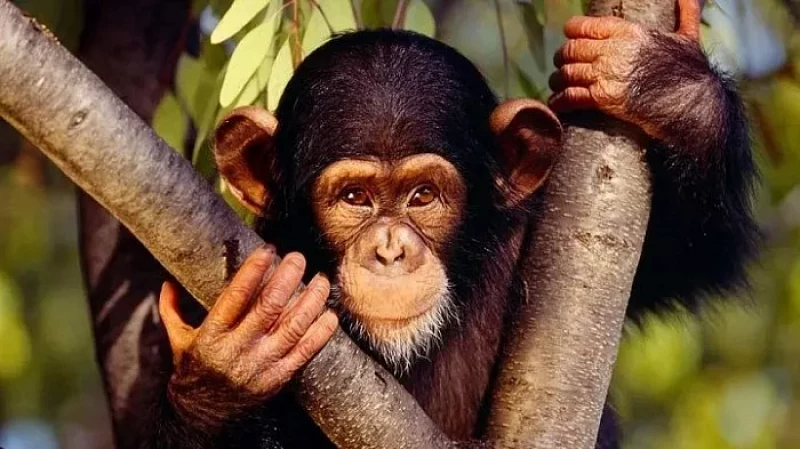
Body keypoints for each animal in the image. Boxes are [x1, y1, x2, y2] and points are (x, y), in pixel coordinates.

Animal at [151, 0, 758, 447]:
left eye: (423, 196)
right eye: (354, 198)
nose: (389, 250)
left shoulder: (535, 231)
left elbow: (690, 253)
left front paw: (664, 85)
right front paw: (228, 370)